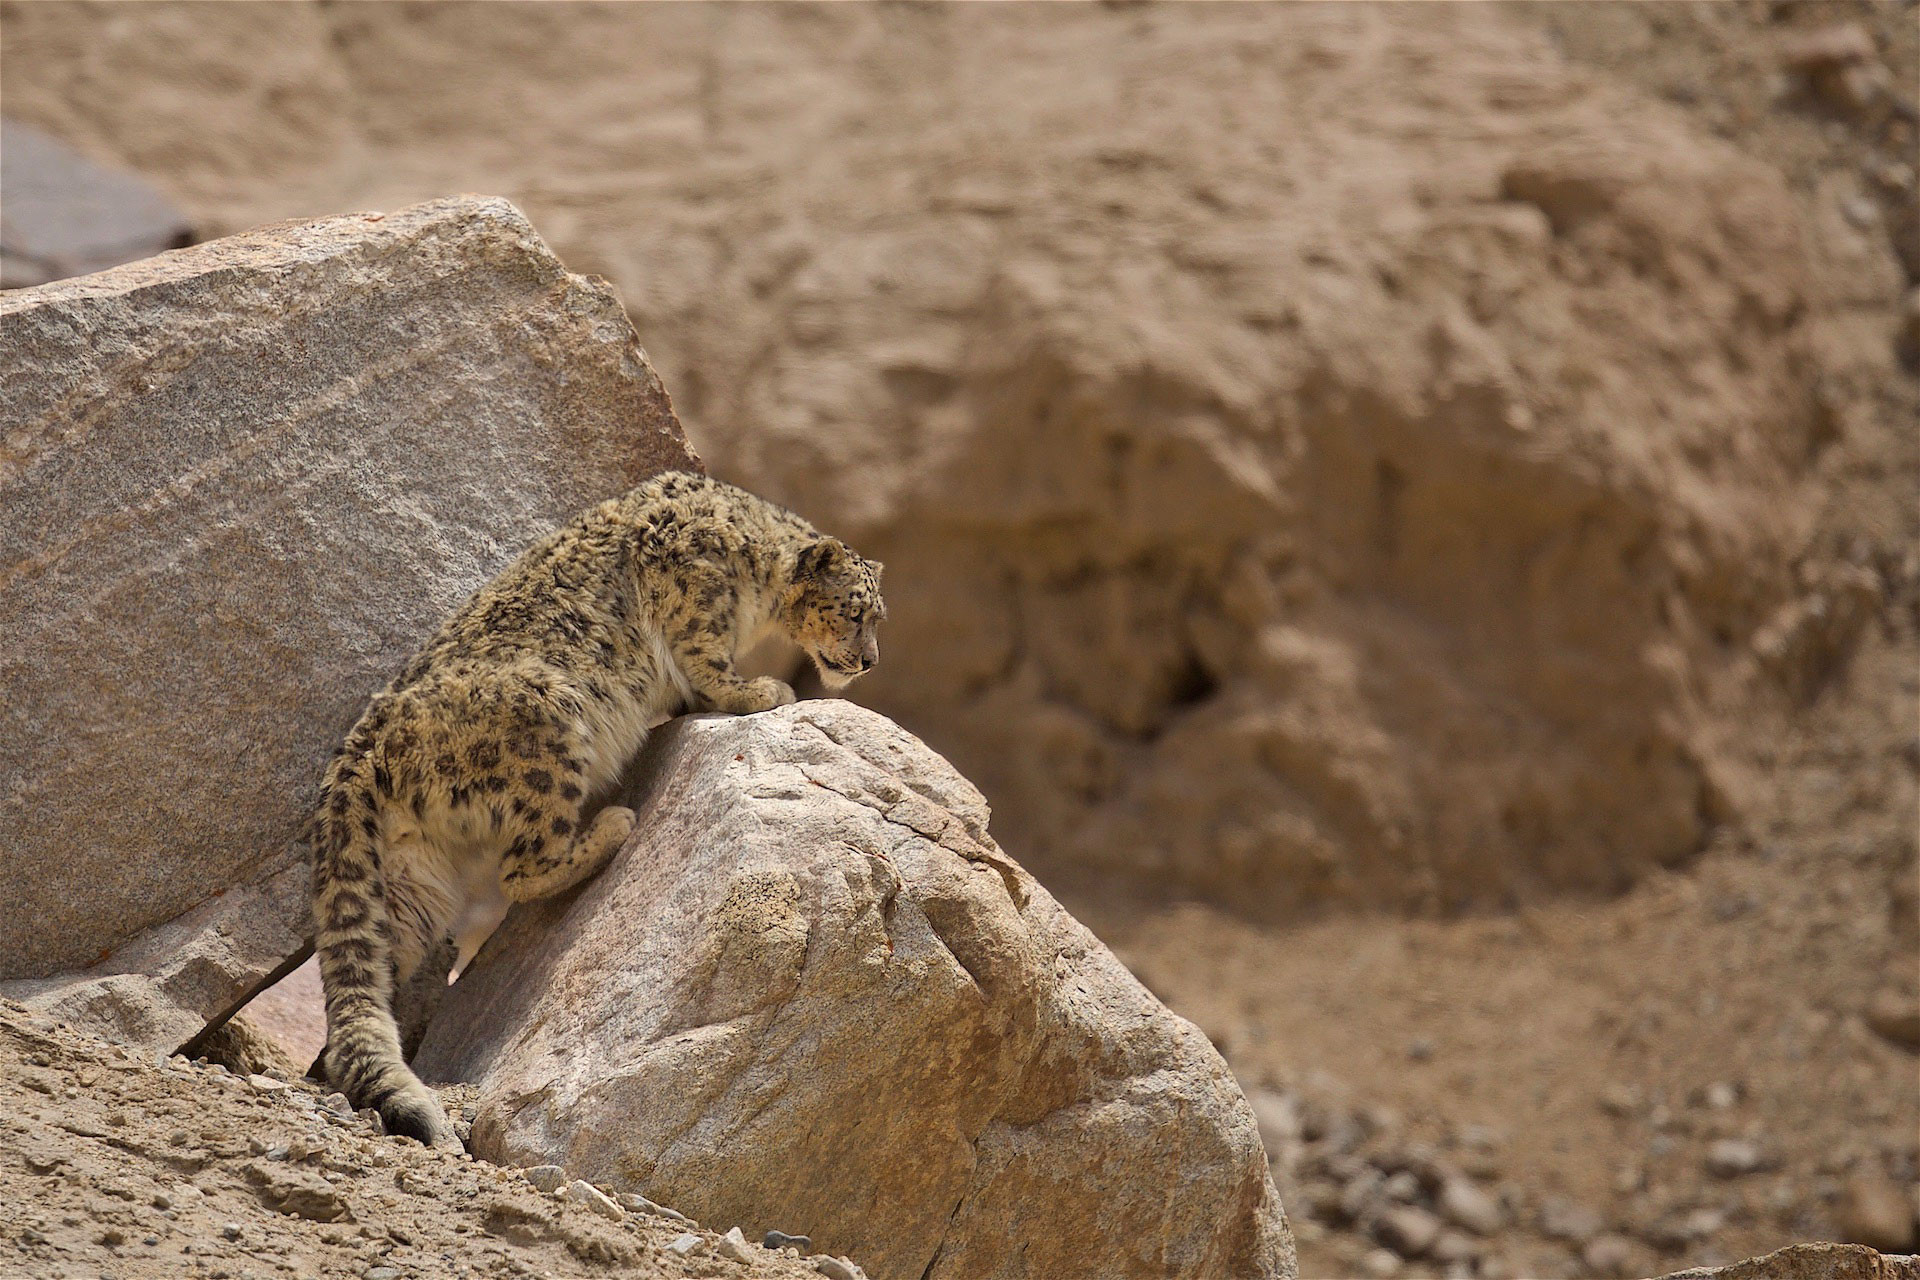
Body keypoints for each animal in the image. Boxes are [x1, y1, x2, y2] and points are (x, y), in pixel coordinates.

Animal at [308, 470, 884, 1148]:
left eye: (877, 616)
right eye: (855, 611)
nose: (870, 660)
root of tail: (358, 750)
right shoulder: (694, 592)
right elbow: (707, 658)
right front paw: (759, 690)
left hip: (411, 876)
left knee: (380, 963)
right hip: (549, 721)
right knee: (521, 867)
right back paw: (612, 825)